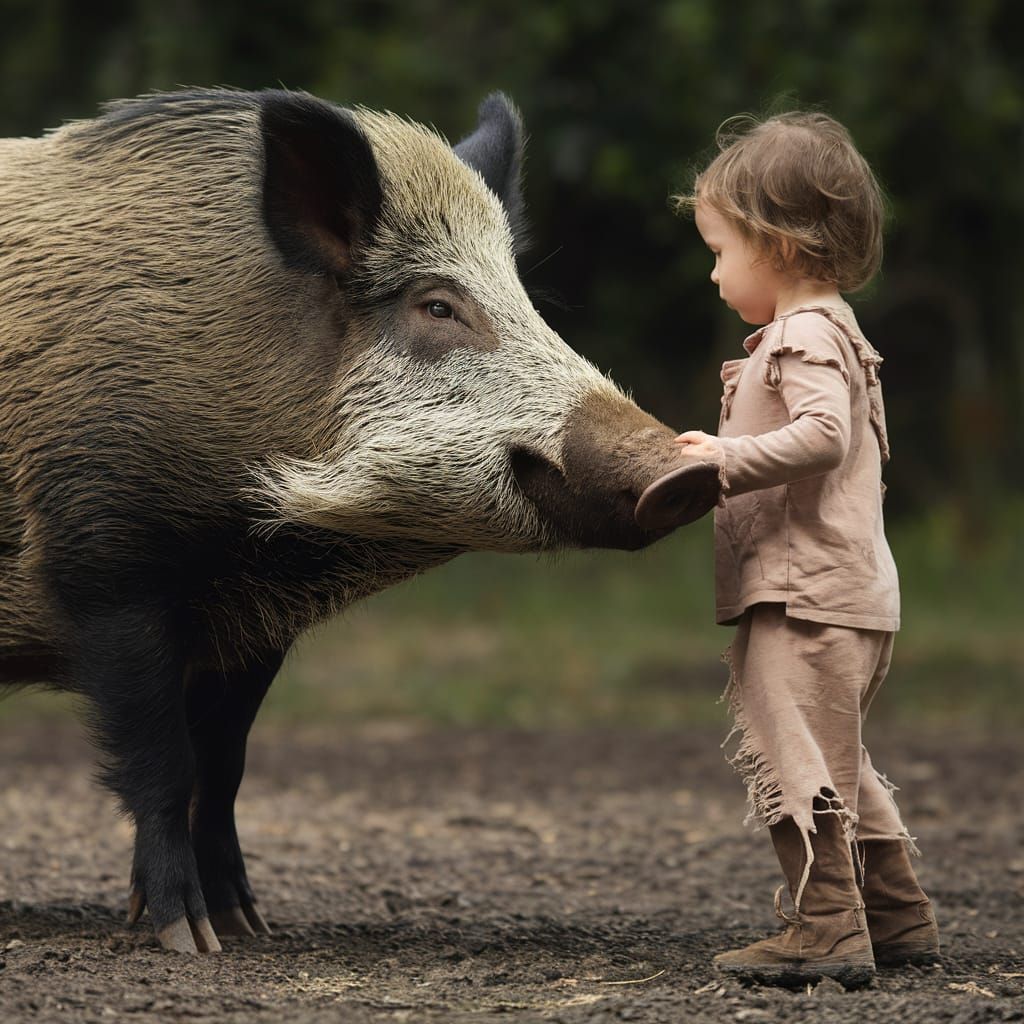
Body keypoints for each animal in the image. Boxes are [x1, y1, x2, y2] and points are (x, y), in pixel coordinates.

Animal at [0, 88, 719, 953]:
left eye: (525, 302)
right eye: (437, 306)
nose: (685, 471)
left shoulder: (248, 628)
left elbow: (225, 765)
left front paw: (249, 926)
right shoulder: (105, 567)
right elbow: (163, 764)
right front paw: (190, 939)